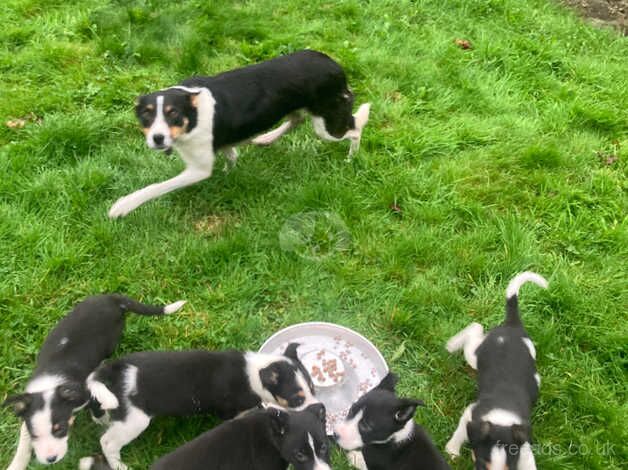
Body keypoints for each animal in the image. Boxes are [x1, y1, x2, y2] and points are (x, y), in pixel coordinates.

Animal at [2, 296, 185, 468]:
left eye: (60, 429)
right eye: (35, 435)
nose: (51, 459)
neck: (51, 385)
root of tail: (111, 298)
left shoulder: (87, 392)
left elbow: (96, 405)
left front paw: (102, 420)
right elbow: (23, 443)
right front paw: (16, 465)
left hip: (111, 340)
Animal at [108, 48, 370, 218]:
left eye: (173, 114)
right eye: (147, 115)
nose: (157, 139)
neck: (193, 115)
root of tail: (335, 65)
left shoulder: (198, 169)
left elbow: (156, 187)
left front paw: (123, 206)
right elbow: (231, 155)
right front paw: (229, 171)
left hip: (328, 125)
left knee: (355, 127)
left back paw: (351, 157)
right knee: (296, 119)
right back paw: (266, 138)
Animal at [444, 272, 548, 470]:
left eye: (510, 469)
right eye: (482, 465)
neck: (502, 418)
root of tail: (512, 325)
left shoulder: (523, 448)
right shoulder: (470, 414)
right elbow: (459, 434)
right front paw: (452, 451)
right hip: (475, 356)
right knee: (475, 327)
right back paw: (452, 344)